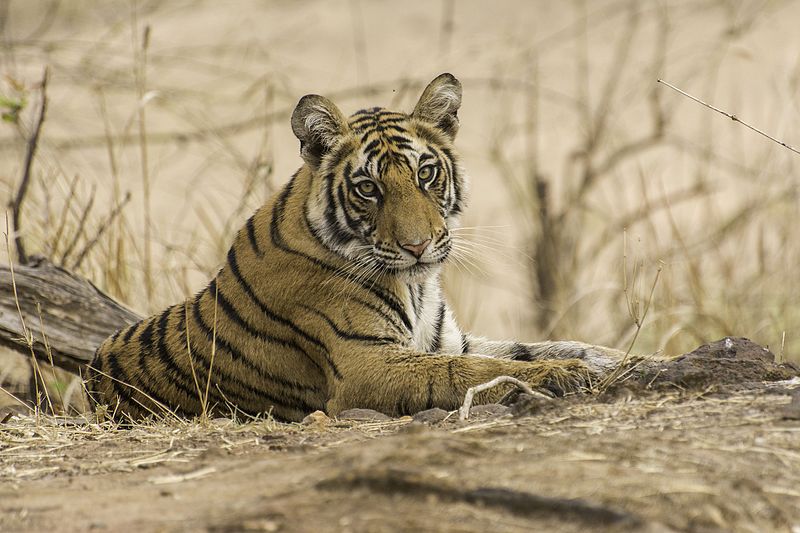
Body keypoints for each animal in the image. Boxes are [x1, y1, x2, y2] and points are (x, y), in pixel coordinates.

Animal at [89, 74, 624, 420]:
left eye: (425, 174)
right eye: (368, 188)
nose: (418, 246)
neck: (417, 284)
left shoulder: (446, 337)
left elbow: (546, 345)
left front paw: (623, 362)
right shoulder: (366, 363)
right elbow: (470, 371)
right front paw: (563, 375)